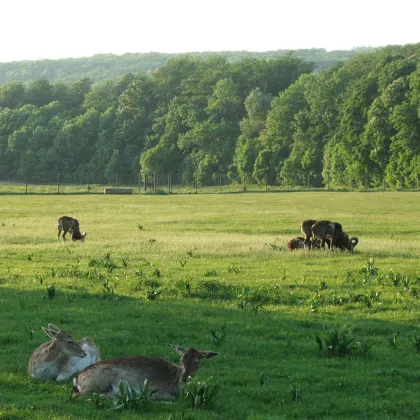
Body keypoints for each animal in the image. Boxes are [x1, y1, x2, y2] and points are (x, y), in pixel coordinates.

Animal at [73, 342, 220, 398]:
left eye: (197, 362)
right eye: (181, 360)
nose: (184, 378)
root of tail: (77, 378)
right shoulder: (153, 388)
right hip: (100, 380)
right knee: (79, 395)